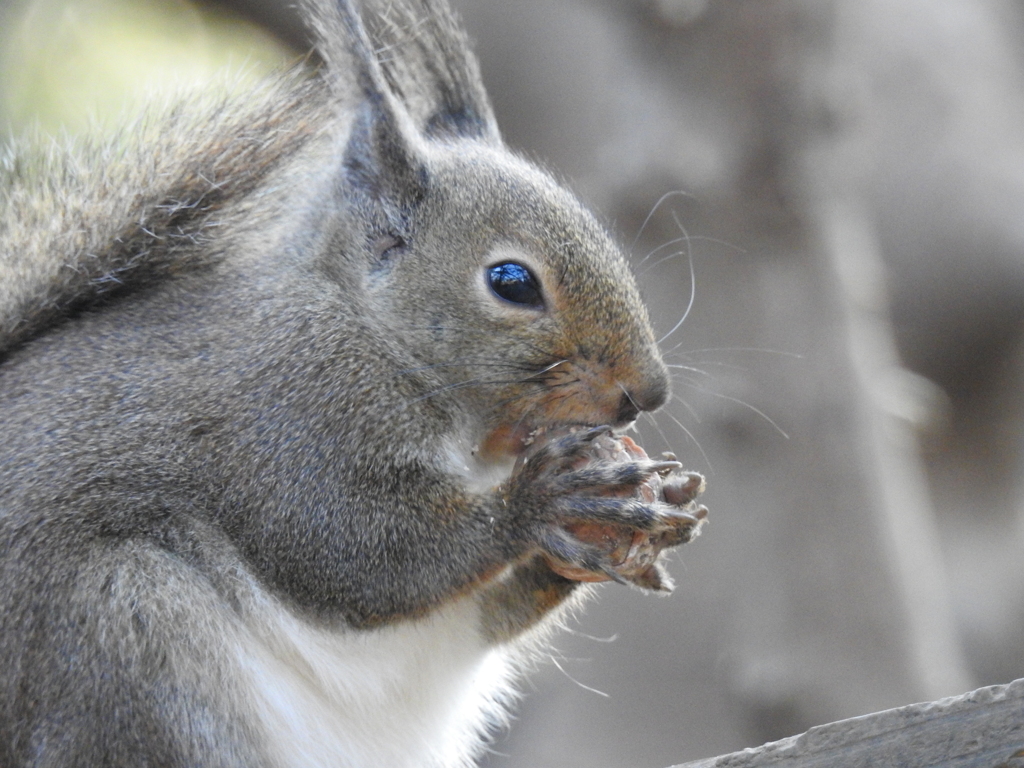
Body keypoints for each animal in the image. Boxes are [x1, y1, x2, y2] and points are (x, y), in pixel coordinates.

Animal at [0, 1, 704, 768]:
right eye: (512, 281)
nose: (647, 394)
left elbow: (475, 615)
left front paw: (633, 513)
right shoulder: (292, 417)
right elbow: (354, 550)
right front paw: (539, 501)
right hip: (127, 627)